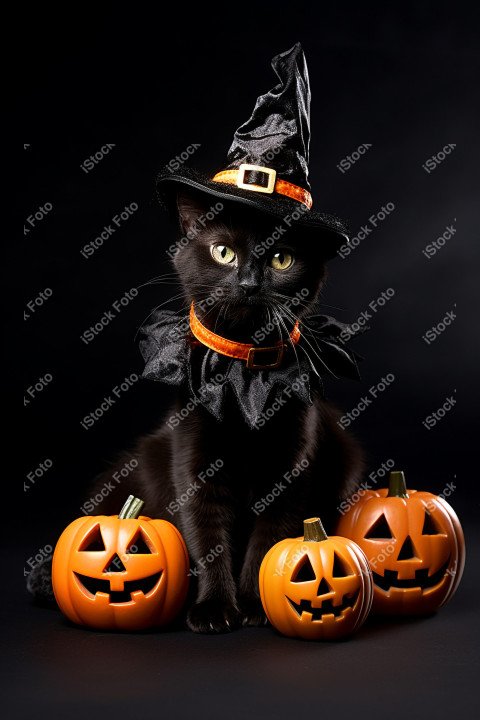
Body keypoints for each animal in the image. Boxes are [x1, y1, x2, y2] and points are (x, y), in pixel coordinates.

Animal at [28, 190, 362, 632]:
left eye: (281, 259)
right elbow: (207, 535)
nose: (248, 284)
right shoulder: (194, 462)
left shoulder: (291, 465)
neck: (242, 379)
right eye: (223, 253)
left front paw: (253, 604)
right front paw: (215, 608)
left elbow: (273, 536)